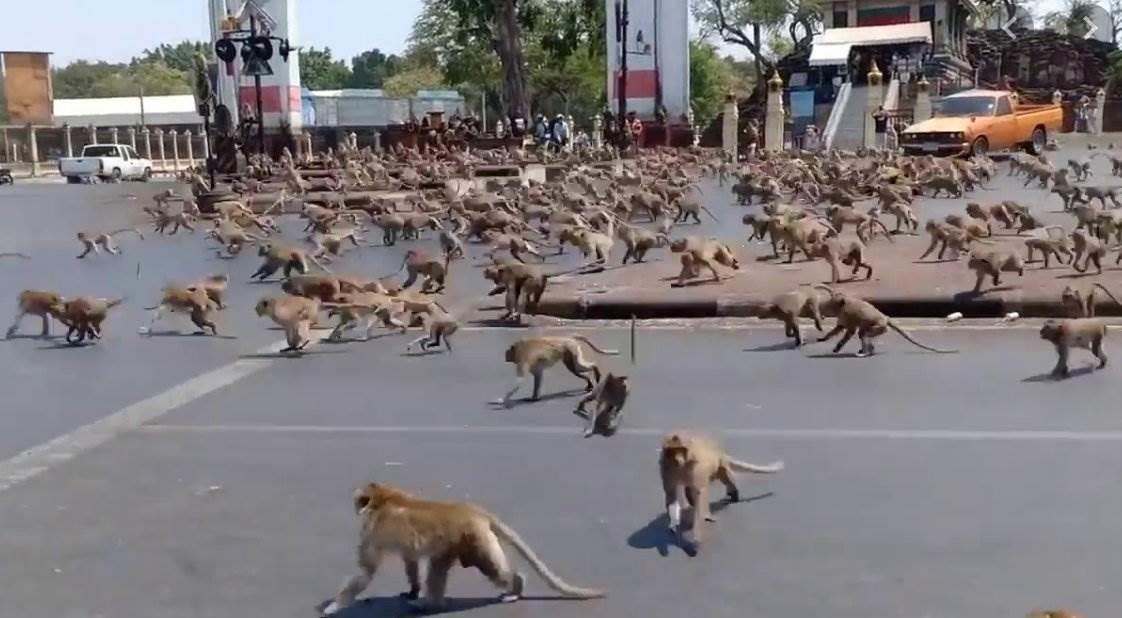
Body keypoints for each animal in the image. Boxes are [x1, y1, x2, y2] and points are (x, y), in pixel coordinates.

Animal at [318, 482, 605, 616]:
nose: (355, 506)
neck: (384, 498)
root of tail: (473, 510)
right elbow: (410, 560)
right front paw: (413, 589)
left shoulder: (373, 531)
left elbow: (365, 571)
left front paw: (334, 606)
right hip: (458, 541)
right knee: (439, 564)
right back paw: (431, 602)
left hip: (474, 538)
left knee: (488, 566)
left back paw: (515, 587)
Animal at [816, 286, 958, 356]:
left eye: (829, 304)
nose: (823, 309)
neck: (843, 304)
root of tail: (885, 318)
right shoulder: (843, 316)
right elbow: (839, 328)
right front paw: (824, 339)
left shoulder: (847, 314)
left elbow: (850, 331)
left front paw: (838, 346)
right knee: (863, 333)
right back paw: (868, 350)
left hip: (880, 327)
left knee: (864, 333)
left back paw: (866, 352)